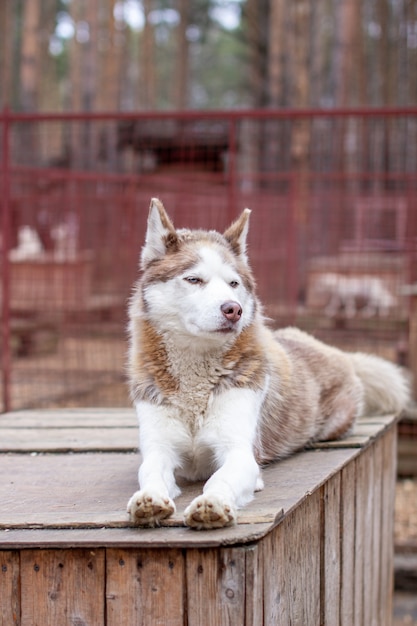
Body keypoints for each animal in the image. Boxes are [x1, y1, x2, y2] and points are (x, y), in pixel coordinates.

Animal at [125, 199, 408, 528]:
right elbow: (149, 471)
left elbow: (219, 479)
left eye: (233, 283)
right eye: (193, 279)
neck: (197, 375)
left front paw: (213, 502)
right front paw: (148, 499)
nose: (233, 309)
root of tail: (332, 349)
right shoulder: (160, 449)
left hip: (334, 423)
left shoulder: (240, 452)